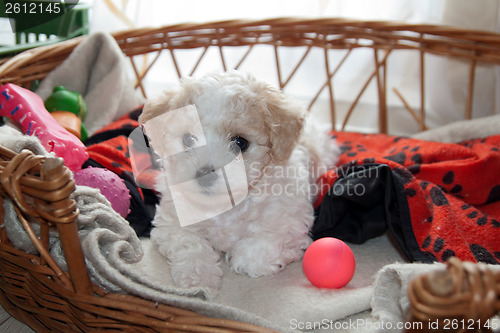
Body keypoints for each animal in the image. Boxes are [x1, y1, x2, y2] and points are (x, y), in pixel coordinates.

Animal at [139, 70, 338, 288]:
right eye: (188, 139)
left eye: (240, 143)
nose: (204, 174)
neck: (224, 206)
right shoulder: (172, 221)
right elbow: (189, 243)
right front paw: (199, 275)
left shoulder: (290, 222)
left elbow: (259, 250)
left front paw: (238, 258)